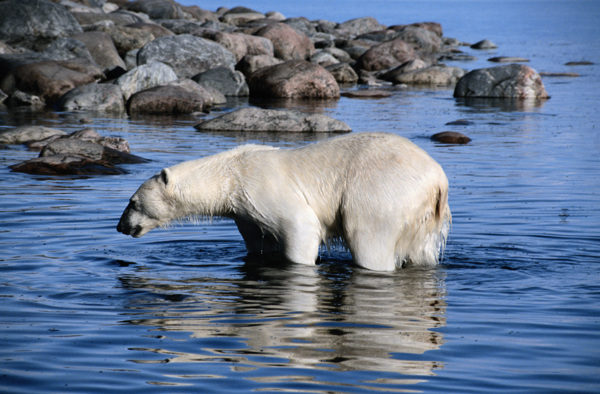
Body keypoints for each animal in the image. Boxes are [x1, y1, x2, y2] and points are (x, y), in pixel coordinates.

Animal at [116, 132, 450, 270]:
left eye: (132, 202)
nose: (120, 227)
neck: (230, 175)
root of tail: (438, 179)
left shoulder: (262, 187)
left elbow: (300, 227)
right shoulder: (246, 213)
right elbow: (261, 243)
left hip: (380, 192)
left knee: (369, 238)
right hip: (423, 216)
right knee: (421, 251)